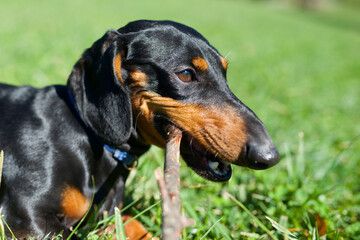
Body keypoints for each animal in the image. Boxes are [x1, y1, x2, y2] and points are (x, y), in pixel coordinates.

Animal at [0, 20, 278, 238]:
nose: (270, 155)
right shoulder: (26, 219)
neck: (88, 138)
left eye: (225, 74)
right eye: (186, 74)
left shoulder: (110, 216)